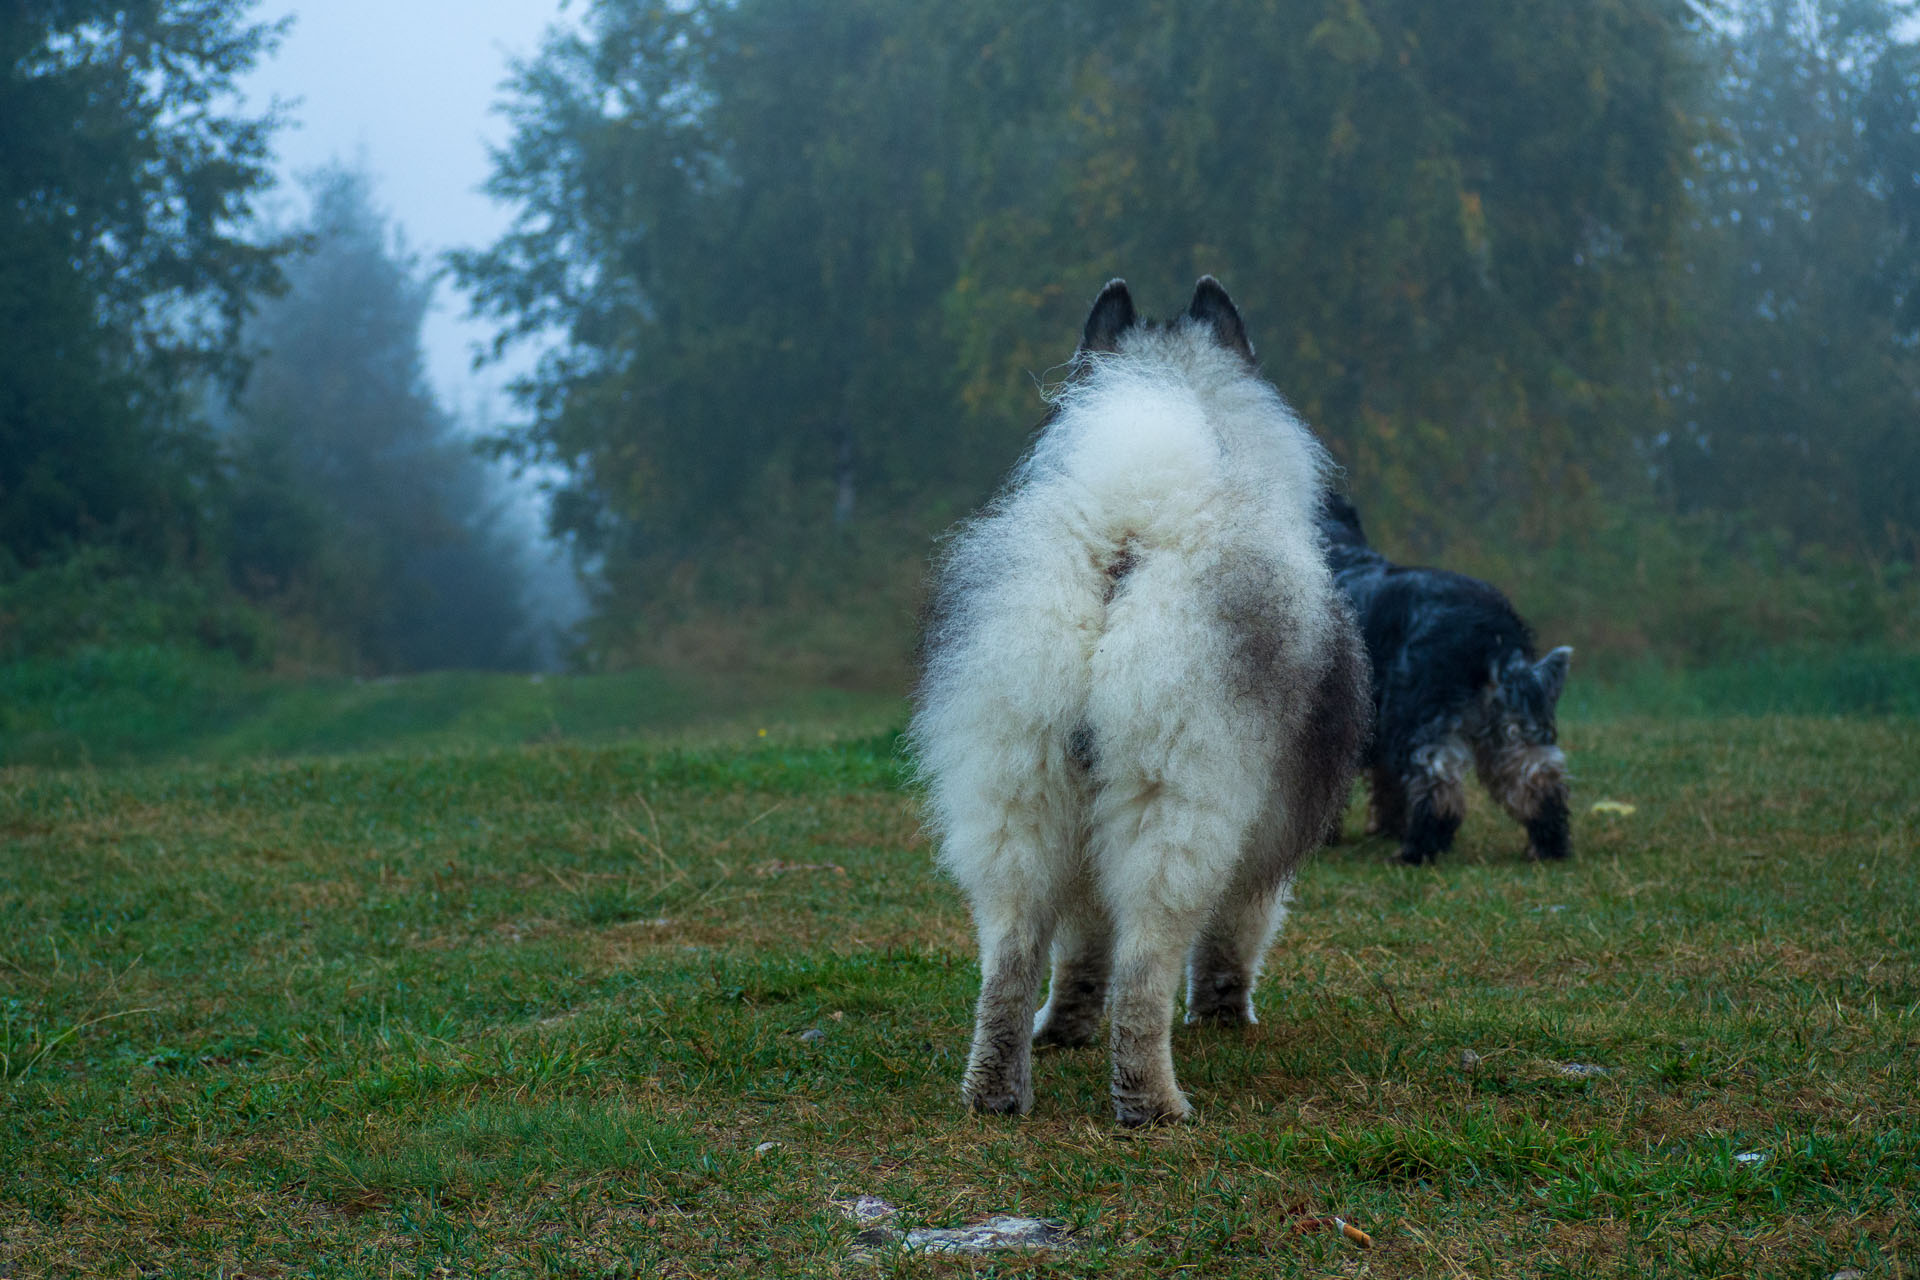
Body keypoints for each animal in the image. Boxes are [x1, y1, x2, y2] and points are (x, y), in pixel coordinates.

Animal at [910, 278, 1374, 1120]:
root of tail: (1125, 540)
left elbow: (1079, 951)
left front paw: (1065, 1027)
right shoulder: (1259, 838)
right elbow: (1234, 937)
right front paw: (1225, 1016)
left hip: (1015, 797)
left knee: (1012, 959)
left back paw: (996, 1092)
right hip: (1175, 806)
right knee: (1147, 967)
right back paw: (1152, 1104)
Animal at [1320, 495, 1574, 867]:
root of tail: (1493, 627)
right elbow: (1387, 783)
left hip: (1421, 716)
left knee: (1438, 785)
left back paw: (1417, 850)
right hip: (1509, 718)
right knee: (1538, 775)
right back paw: (1548, 846)